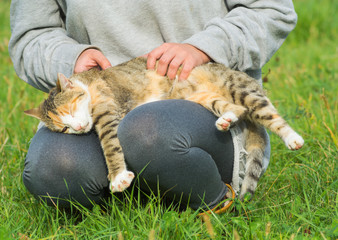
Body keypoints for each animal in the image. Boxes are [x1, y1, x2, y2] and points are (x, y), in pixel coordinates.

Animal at [23, 56, 304, 199]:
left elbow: (110, 144)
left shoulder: (108, 110)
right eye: (63, 129)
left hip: (238, 88)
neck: (88, 86)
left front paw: (118, 177)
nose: (79, 127)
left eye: (71, 109)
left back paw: (292, 138)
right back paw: (226, 118)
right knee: (237, 109)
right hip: (200, 96)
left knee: (266, 112)